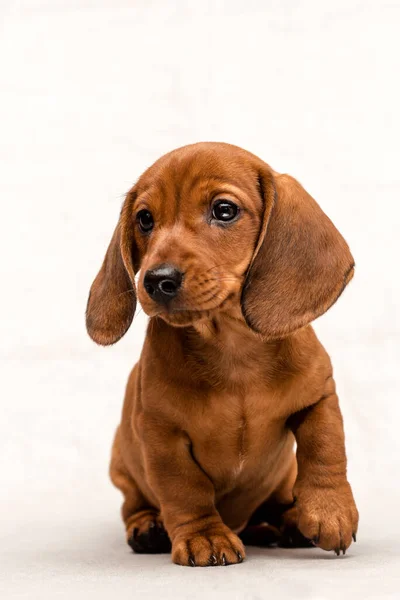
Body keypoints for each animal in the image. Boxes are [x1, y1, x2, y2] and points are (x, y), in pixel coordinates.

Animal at [86, 143, 358, 564]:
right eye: (144, 219)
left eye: (224, 210)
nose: (156, 280)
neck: (233, 349)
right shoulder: (161, 433)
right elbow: (185, 487)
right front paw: (205, 536)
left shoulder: (320, 396)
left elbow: (325, 447)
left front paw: (330, 511)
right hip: (123, 467)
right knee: (134, 504)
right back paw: (148, 528)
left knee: (277, 502)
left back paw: (286, 522)